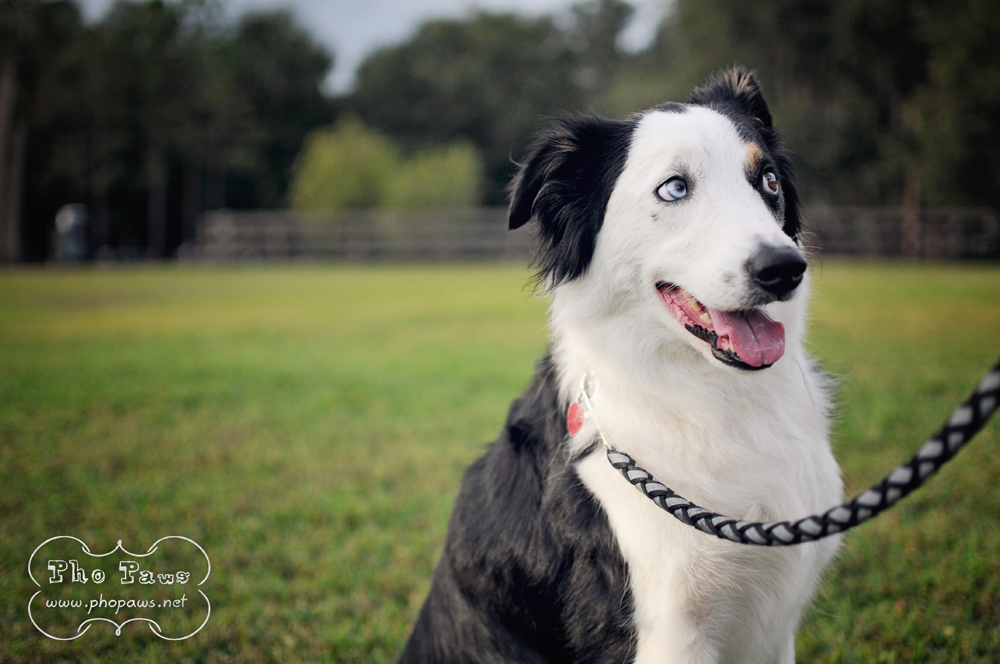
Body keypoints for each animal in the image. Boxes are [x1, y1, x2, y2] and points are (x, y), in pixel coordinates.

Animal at [398, 69, 842, 664]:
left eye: (768, 180)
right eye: (674, 188)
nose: (785, 268)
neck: (716, 398)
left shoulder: (772, 630)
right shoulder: (667, 632)